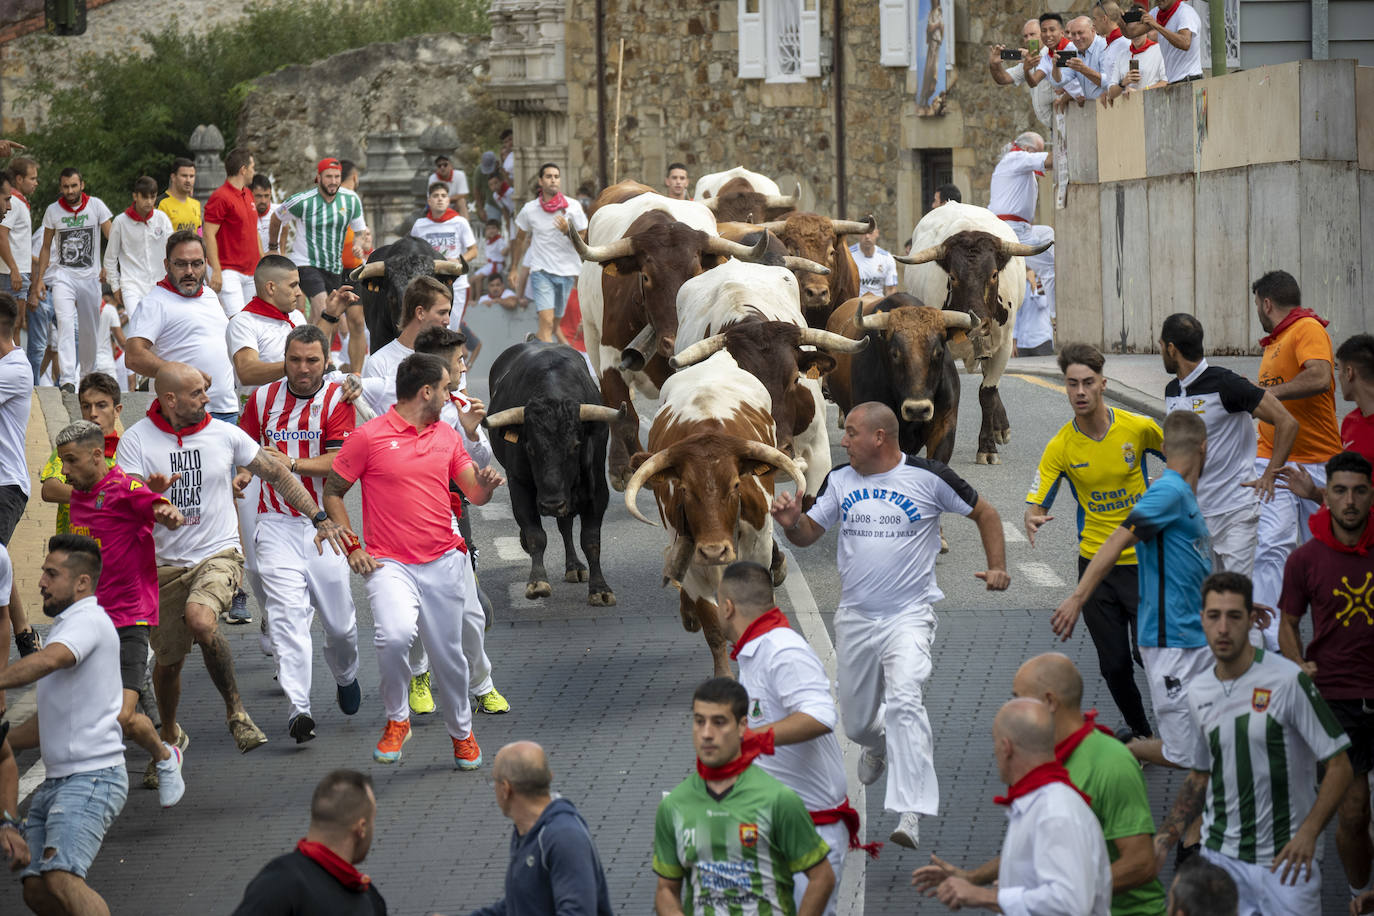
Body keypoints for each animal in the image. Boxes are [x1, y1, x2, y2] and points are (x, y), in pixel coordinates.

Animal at [478, 340, 618, 604]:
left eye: (575, 445)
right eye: (530, 447)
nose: (552, 503)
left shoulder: (597, 490)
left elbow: (591, 539)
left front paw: (600, 588)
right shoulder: (519, 484)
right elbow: (536, 534)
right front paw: (537, 582)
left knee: (565, 525)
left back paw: (574, 566)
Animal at [623, 348, 802, 672]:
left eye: (735, 485)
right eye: (684, 489)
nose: (715, 550)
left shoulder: (756, 547)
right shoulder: (695, 560)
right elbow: (713, 625)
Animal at [901, 203, 1049, 461]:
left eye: (994, 274)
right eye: (952, 276)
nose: (978, 323)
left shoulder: (1004, 346)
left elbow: (987, 393)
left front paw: (987, 448)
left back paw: (1000, 428)